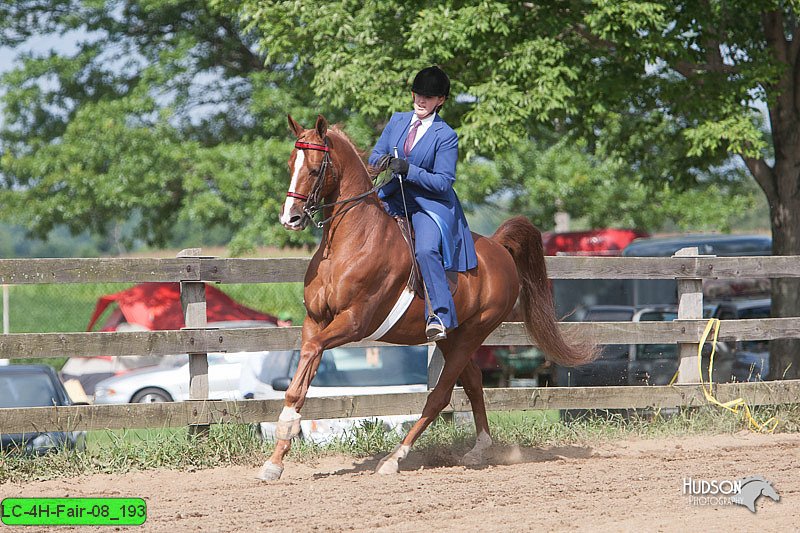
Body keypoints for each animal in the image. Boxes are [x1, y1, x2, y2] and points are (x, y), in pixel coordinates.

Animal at [260, 114, 596, 480]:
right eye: (290, 164)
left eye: (314, 168)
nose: (290, 218)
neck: (348, 243)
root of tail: (498, 247)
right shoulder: (315, 321)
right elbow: (301, 377)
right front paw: (275, 460)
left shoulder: (353, 323)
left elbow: (311, 353)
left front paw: (285, 431)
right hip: (454, 338)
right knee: (474, 382)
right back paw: (479, 449)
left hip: (473, 333)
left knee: (440, 396)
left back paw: (395, 458)